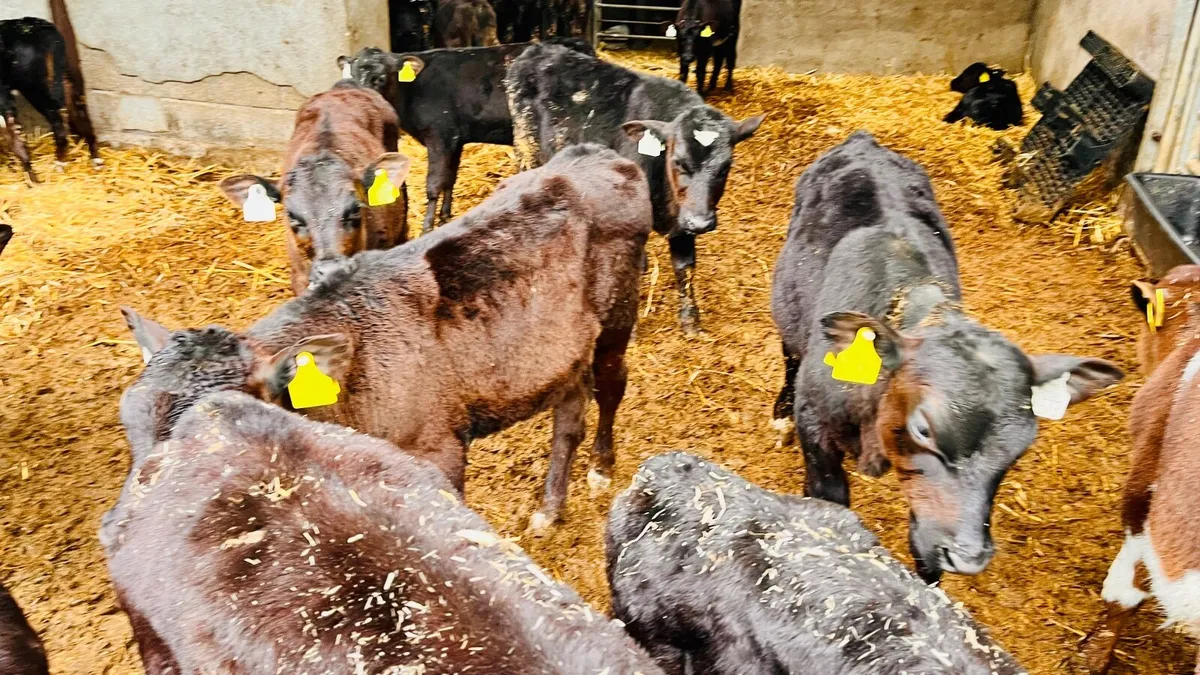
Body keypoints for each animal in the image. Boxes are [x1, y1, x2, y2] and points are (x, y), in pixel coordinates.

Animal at [0, 16, 101, 183]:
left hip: (36, 87)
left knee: (58, 126)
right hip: (63, 78)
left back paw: (50, 170)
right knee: (80, 114)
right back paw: (96, 161)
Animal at [122, 143, 651, 532]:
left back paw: (602, 469)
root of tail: (600, 155)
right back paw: (549, 508)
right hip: (565, 348)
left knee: (611, 384)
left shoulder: (438, 447)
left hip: (617, 317)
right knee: (569, 414)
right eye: (129, 425)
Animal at [340, 39, 594, 235]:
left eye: (380, 78)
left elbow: (433, 184)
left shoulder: (439, 136)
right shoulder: (455, 139)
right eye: (351, 74)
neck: (411, 90)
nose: (359, 99)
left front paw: (426, 228)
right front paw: (445, 217)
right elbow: (449, 179)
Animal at [506, 43, 764, 333]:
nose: (701, 222)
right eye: (678, 161)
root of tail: (537, 49)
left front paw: (690, 321)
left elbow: (684, 266)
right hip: (526, 148)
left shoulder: (682, 218)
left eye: (725, 166)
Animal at [770, 132, 1122, 582]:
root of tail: (863, 141)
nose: (969, 557)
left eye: (1021, 447)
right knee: (788, 355)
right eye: (923, 428)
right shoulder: (815, 423)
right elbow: (828, 499)